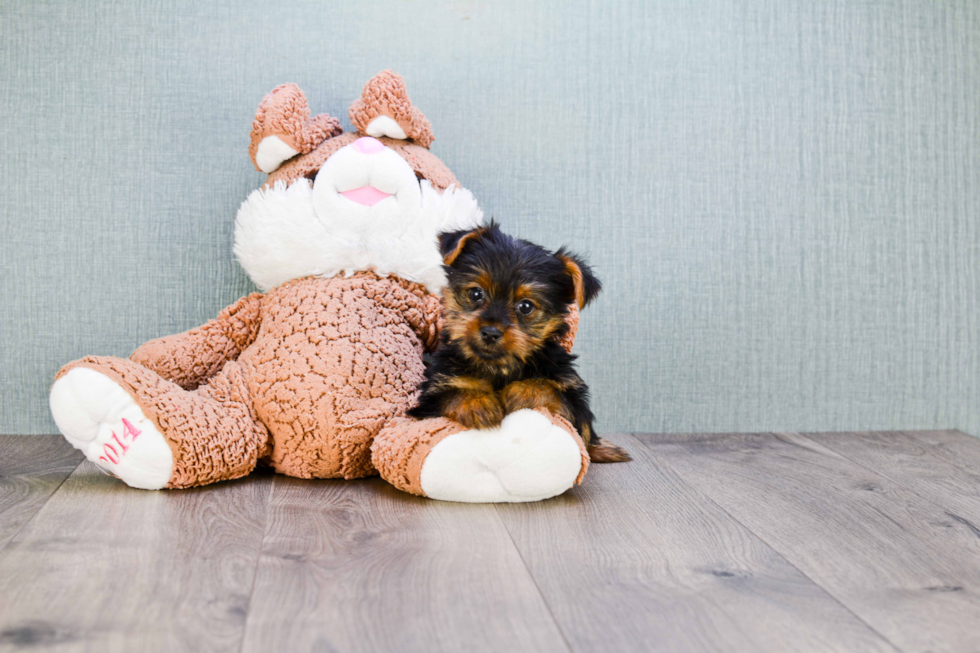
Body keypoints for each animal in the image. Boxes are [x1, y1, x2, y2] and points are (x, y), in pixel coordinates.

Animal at [408, 222, 632, 460]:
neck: (498, 367)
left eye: (526, 306)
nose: (490, 332)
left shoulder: (575, 406)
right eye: (476, 293)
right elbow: (451, 394)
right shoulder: (430, 398)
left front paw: (521, 391)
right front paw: (478, 403)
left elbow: (553, 393)